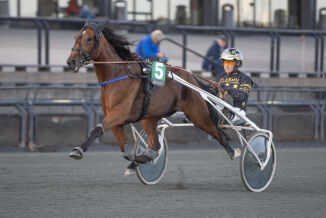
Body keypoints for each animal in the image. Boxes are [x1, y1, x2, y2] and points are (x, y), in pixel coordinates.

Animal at [66, 20, 241, 174]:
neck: (118, 75)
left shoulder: (119, 114)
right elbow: (125, 150)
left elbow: (97, 129)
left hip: (198, 115)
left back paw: (234, 152)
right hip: (149, 117)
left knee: (217, 132)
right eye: (75, 37)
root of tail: (191, 78)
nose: (71, 61)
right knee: (155, 146)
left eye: (89, 39)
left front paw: (78, 150)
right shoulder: (115, 119)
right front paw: (135, 159)